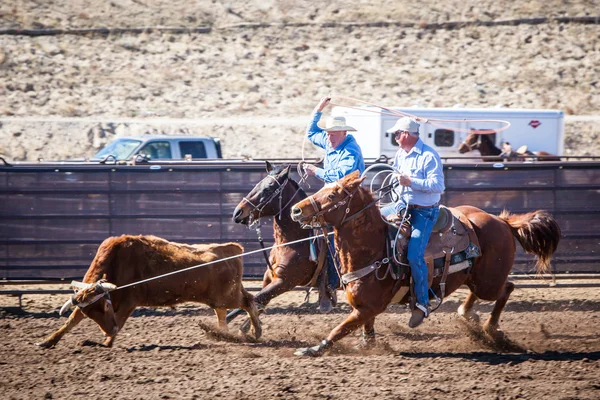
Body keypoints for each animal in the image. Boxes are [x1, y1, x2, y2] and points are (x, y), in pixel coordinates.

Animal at [290, 172, 564, 356]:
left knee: (507, 288)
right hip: (475, 277)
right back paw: (467, 315)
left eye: (332, 194)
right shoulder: (365, 308)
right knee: (480, 293)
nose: (296, 210)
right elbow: (364, 328)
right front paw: (367, 345)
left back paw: (491, 329)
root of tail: (502, 221)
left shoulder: (368, 307)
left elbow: (339, 329)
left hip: (489, 281)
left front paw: (313, 349)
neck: (375, 248)